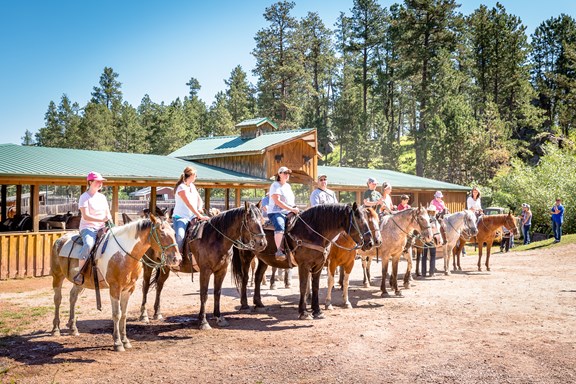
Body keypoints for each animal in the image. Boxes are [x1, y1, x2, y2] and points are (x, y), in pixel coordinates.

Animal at [49, 214, 181, 352]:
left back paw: (73, 328)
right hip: (57, 276)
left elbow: (124, 314)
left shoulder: (128, 289)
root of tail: (60, 239)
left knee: (73, 297)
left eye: (174, 232)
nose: (177, 259)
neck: (124, 254)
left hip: (80, 283)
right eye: (162, 233)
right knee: (57, 299)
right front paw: (117, 343)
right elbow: (116, 314)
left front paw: (125, 341)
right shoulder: (115, 288)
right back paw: (56, 329)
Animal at [188, 201, 266, 330]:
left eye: (262, 220)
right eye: (250, 221)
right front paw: (203, 322)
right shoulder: (205, 271)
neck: (213, 238)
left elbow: (217, 292)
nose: (262, 243)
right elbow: (204, 294)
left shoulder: (222, 270)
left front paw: (218, 316)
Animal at [232, 202, 376, 320]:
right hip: (246, 255)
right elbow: (303, 285)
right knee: (245, 278)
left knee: (257, 277)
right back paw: (245, 305)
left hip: (264, 259)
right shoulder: (304, 265)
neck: (312, 232)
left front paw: (317, 311)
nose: (370, 243)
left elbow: (316, 286)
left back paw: (259, 304)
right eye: (359, 221)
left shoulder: (319, 265)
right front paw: (303, 312)